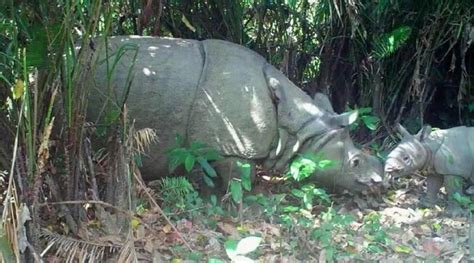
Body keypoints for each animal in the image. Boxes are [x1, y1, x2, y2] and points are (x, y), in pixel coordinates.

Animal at [86, 36, 386, 194]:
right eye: (356, 162)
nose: (379, 185)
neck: (299, 127)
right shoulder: (233, 147)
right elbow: (241, 179)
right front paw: (235, 206)